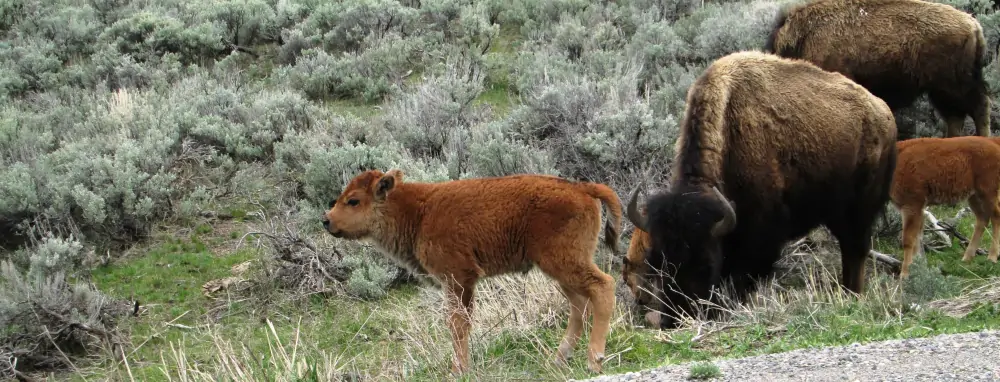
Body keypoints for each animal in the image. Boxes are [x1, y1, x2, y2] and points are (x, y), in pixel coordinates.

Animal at [324, 169, 620, 374]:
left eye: (353, 201)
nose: (326, 220)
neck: (418, 212)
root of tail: (582, 188)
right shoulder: (462, 283)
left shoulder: (458, 278)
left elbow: (457, 324)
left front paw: (458, 370)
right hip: (561, 270)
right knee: (579, 305)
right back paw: (558, 360)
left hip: (566, 263)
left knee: (603, 287)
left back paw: (594, 361)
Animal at [624, 50, 900, 330]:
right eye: (656, 263)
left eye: (706, 264)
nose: (676, 318)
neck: (729, 131)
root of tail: (884, 114)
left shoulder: (760, 238)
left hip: (858, 210)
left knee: (855, 249)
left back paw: (852, 293)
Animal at [760, 0, 988, 139]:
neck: (805, 36)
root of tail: (973, 25)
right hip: (942, 91)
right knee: (957, 117)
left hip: (952, 86)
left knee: (978, 108)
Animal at [888, 137, 1000, 278]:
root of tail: (993, 141)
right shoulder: (917, 208)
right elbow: (918, 239)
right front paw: (919, 268)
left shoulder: (911, 205)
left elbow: (908, 240)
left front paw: (904, 274)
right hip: (973, 196)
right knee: (982, 219)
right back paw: (967, 258)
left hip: (988, 191)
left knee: (996, 216)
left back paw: (992, 257)